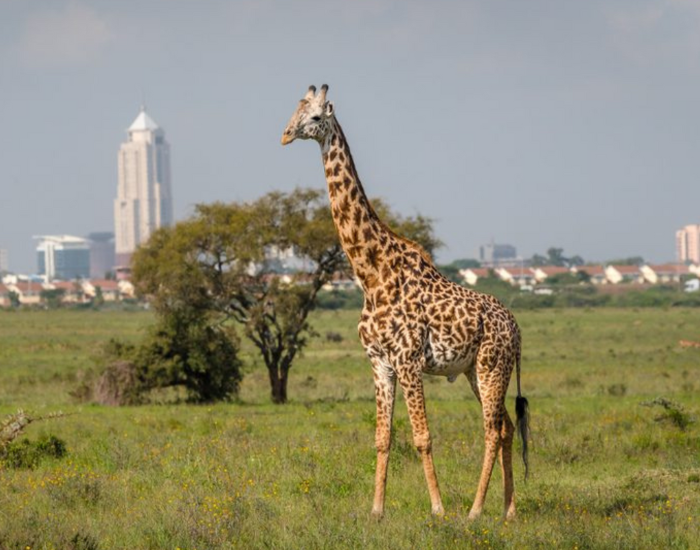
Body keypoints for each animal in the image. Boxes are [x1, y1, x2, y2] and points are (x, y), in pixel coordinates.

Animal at [281, 84, 529, 520]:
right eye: (295, 111)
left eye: (314, 117)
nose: (285, 135)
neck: (371, 273)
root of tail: (515, 328)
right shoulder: (379, 361)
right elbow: (383, 437)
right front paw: (376, 510)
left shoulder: (409, 359)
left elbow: (422, 436)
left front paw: (438, 509)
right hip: (474, 370)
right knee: (506, 428)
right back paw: (508, 510)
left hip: (491, 365)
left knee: (491, 430)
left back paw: (475, 511)